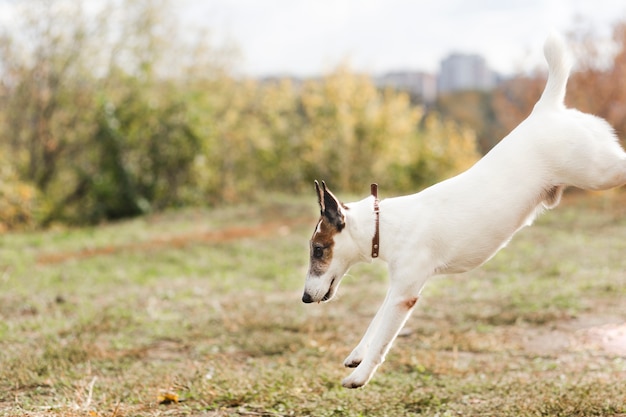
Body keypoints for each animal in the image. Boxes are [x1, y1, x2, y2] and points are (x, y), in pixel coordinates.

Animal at [300, 31, 624, 386]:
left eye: (319, 249)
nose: (304, 298)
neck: (382, 225)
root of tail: (546, 110)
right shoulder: (399, 287)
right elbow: (375, 322)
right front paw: (357, 354)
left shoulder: (404, 295)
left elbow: (383, 337)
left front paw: (360, 375)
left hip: (601, 172)